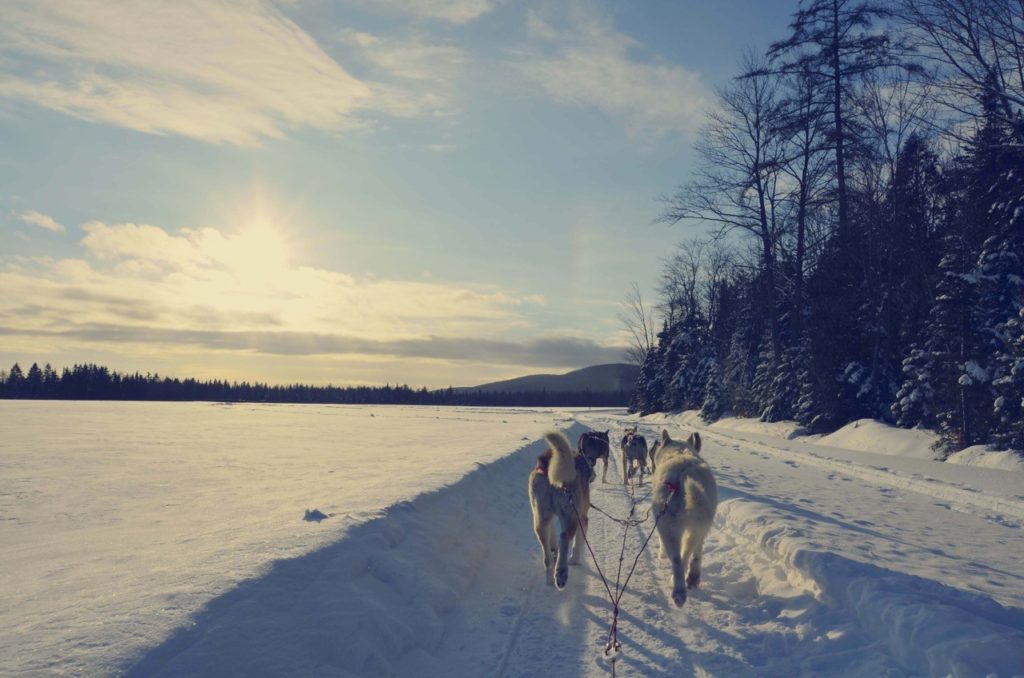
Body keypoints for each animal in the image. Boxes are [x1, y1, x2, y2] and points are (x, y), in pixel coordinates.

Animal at [528, 432, 593, 594]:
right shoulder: (582, 518)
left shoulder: (549, 517)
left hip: (540, 518)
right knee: (564, 538)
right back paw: (561, 573)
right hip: (570, 515)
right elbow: (578, 543)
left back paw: (550, 576)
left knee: (546, 554)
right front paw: (574, 560)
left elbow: (552, 536)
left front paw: (554, 550)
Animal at [651, 428, 716, 606]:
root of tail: (684, 473)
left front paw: (661, 554)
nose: (656, 443)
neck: (679, 451)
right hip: (697, 527)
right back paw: (690, 581)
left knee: (677, 560)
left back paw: (678, 590)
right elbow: (696, 553)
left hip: (668, 528)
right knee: (688, 555)